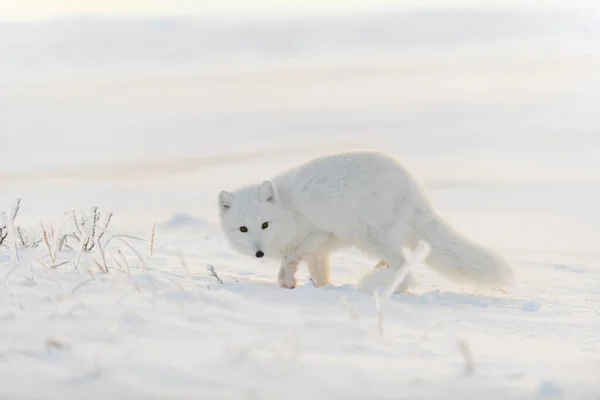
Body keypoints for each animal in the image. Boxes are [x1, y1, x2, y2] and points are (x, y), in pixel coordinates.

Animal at [218, 150, 512, 290]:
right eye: (243, 229)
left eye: (265, 225)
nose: (258, 253)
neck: (287, 209)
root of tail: (415, 190)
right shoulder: (320, 251)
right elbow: (320, 274)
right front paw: (320, 288)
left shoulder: (321, 234)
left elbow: (292, 257)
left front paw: (286, 278)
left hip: (371, 238)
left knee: (406, 269)